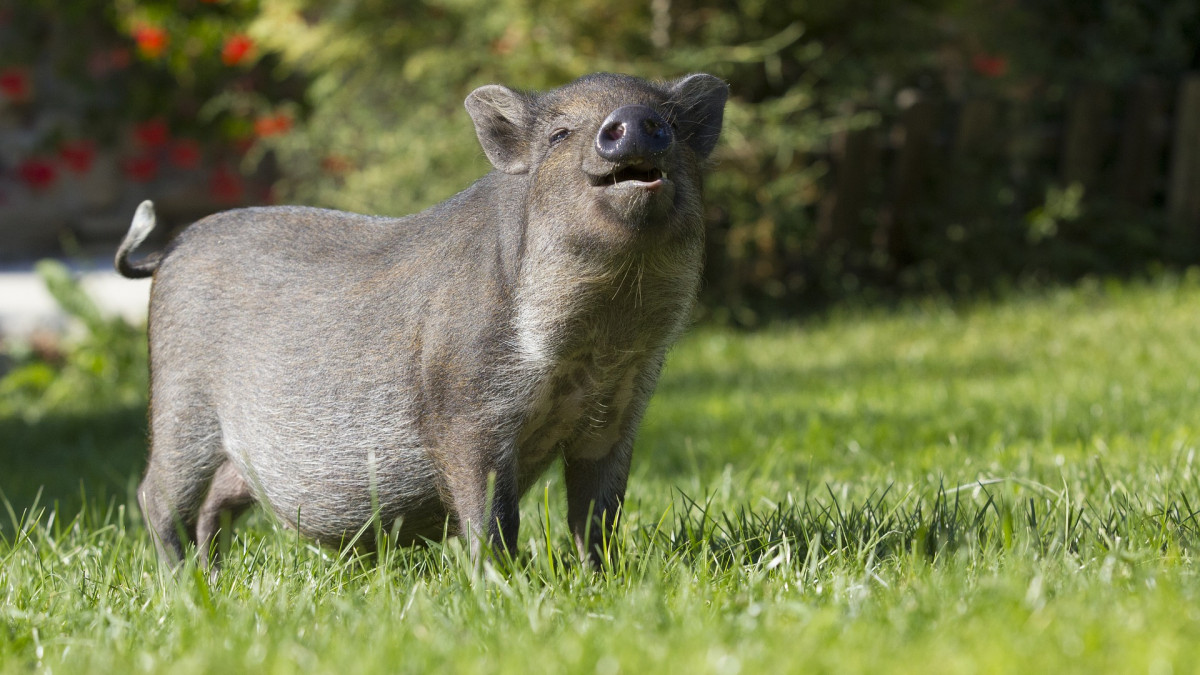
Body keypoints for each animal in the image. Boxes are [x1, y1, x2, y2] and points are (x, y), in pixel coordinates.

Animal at [114, 72, 729, 566]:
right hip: (180, 404)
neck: (599, 341)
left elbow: (597, 516)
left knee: (215, 504)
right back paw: (184, 583)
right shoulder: (465, 411)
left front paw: (601, 580)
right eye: (559, 135)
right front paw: (503, 586)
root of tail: (169, 250)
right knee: (155, 496)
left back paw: (213, 577)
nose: (635, 120)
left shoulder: (617, 415)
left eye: (671, 122)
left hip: (232, 454)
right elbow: (491, 517)